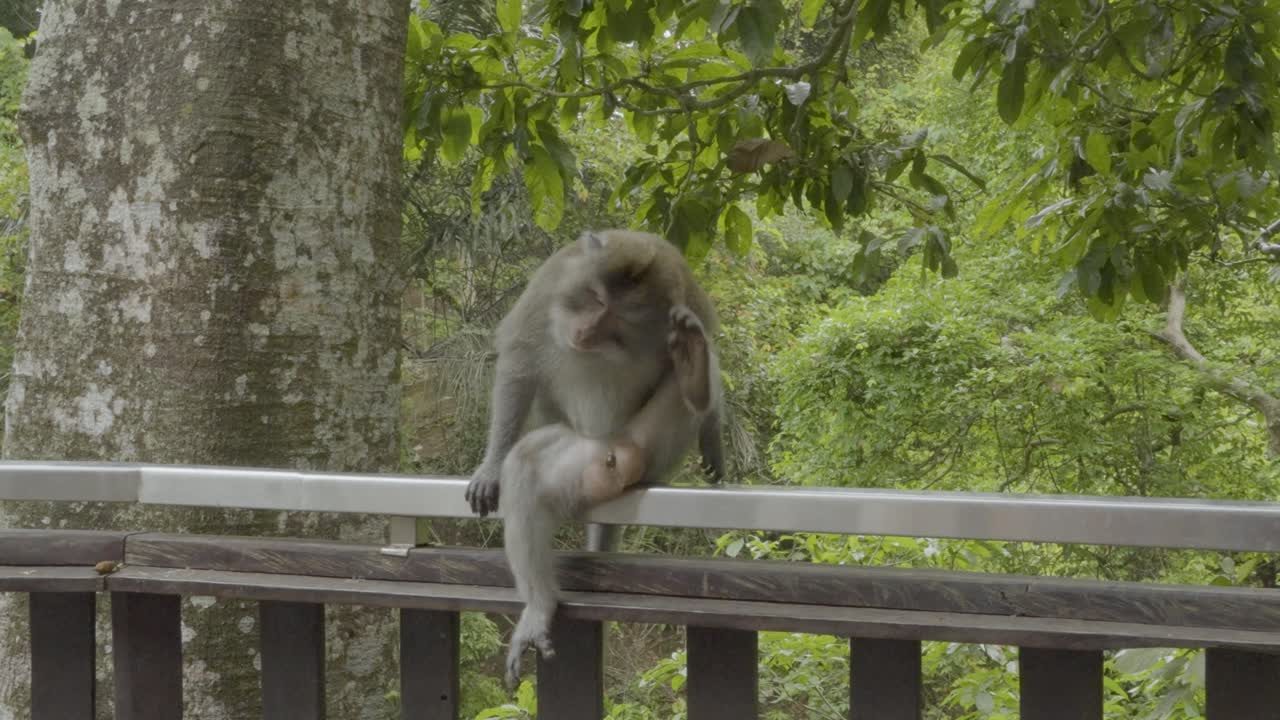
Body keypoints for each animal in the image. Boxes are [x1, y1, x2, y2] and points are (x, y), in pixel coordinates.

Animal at [465, 228, 725, 520]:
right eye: (597, 300)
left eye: (618, 322)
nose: (586, 332)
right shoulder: (547, 285)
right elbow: (519, 363)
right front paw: (493, 466)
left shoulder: (689, 303)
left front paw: (712, 436)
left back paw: (694, 373)